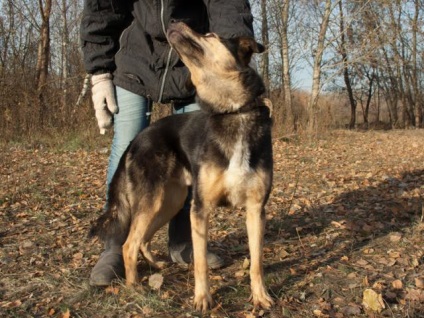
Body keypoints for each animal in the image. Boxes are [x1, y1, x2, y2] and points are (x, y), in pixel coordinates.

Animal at [90, 21, 274, 310]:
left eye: (210, 35)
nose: (175, 23)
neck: (233, 112)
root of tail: (136, 140)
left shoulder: (256, 209)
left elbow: (257, 262)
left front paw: (260, 296)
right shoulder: (200, 209)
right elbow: (200, 263)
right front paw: (202, 299)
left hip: (170, 201)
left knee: (142, 239)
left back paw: (155, 265)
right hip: (154, 200)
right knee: (128, 244)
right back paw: (134, 288)